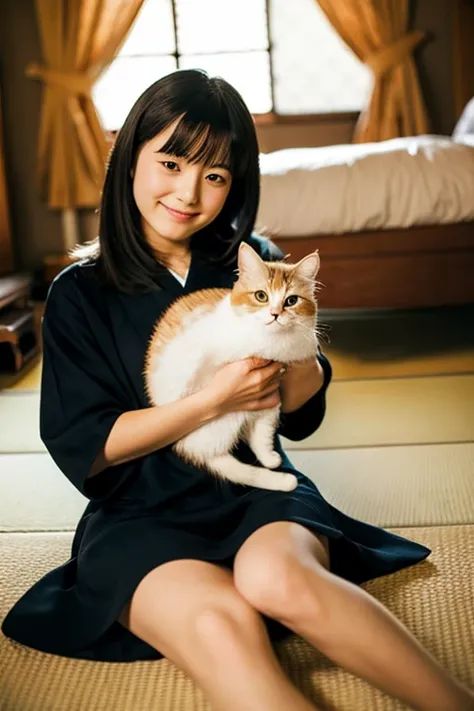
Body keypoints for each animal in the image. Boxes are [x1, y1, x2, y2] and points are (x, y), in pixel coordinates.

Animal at [144, 242, 320, 492]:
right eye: (261, 296)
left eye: (291, 301)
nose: (275, 314)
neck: (269, 344)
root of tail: (187, 446)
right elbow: (194, 357)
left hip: (267, 406)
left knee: (258, 437)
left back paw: (273, 464)